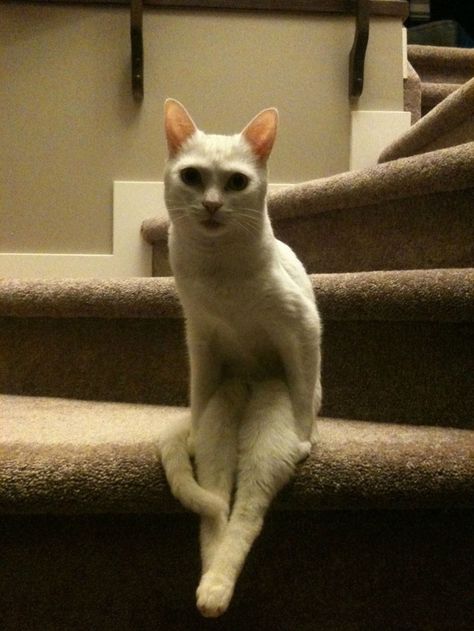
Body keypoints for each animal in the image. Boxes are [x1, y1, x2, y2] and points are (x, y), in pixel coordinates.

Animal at [159, 101, 322, 620]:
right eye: (192, 177)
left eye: (235, 182)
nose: (212, 205)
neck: (218, 274)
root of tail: (250, 386)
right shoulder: (200, 338)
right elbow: (195, 390)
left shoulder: (302, 329)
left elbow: (304, 384)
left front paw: (308, 440)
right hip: (220, 416)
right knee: (215, 504)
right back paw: (210, 588)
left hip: (269, 426)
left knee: (248, 509)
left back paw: (215, 591)